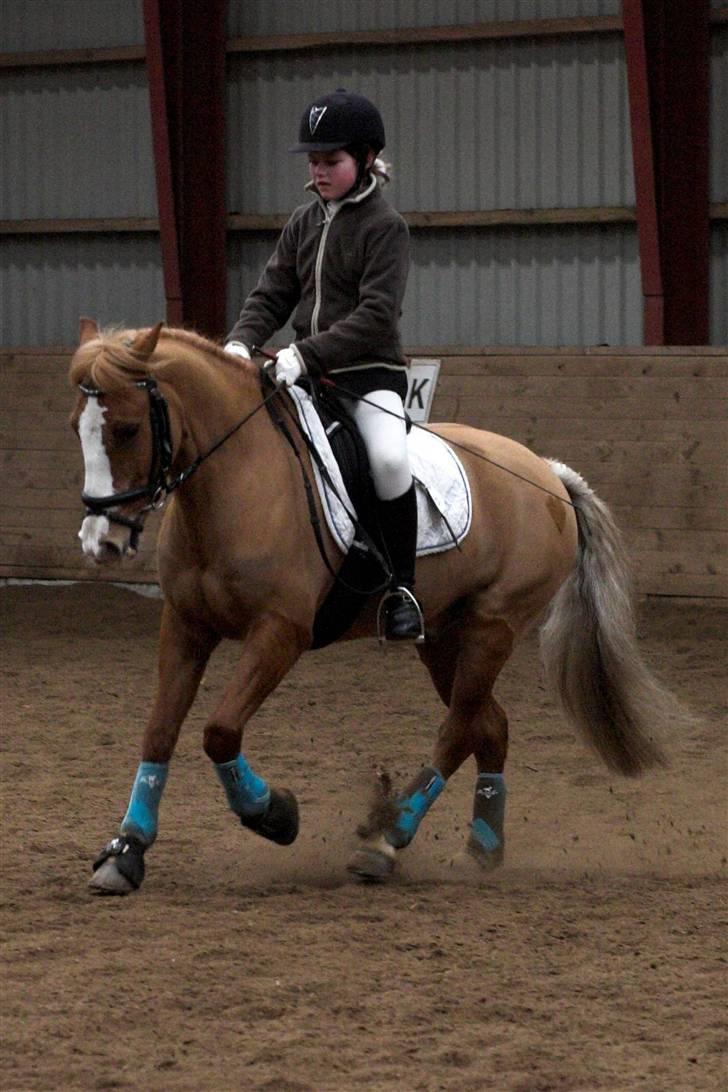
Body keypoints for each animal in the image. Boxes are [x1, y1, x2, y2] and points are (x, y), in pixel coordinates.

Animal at [69, 320, 675, 895]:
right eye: (78, 427)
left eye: (127, 429)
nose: (101, 542)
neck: (236, 483)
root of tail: (547, 473)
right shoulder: (186, 625)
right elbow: (159, 731)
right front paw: (125, 853)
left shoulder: (280, 632)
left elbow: (219, 731)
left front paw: (275, 814)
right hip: (445, 636)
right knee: (489, 725)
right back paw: (480, 849)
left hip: (494, 625)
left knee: (458, 728)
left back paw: (387, 838)